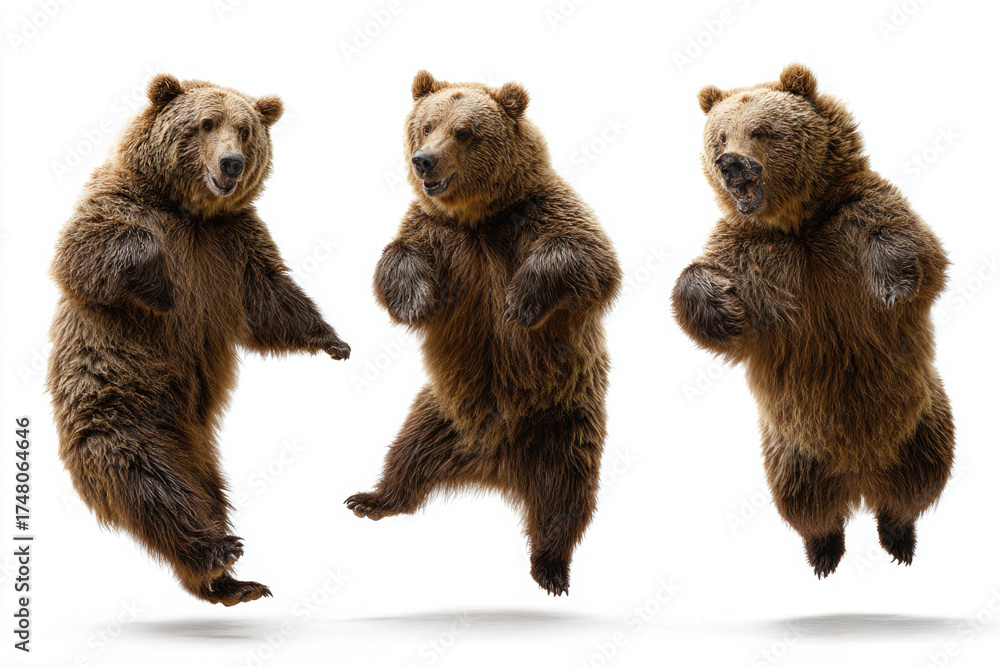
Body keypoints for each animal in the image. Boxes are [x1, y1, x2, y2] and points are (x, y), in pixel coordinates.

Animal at [46, 75, 351, 605]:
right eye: (206, 123)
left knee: (207, 493)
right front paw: (160, 285)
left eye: (245, 130)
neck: (192, 213)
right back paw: (214, 550)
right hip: (119, 403)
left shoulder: (233, 245)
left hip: (201, 451)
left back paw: (232, 580)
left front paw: (333, 341)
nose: (230, 163)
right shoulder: (123, 205)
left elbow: (271, 302)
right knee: (147, 477)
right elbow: (84, 252)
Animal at [344, 71, 622, 596]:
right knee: (407, 452)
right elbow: (395, 261)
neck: (477, 219)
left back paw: (551, 566)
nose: (424, 159)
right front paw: (416, 301)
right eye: (426, 124)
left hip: (563, 421)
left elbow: (584, 256)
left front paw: (519, 303)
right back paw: (373, 498)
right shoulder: (434, 232)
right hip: (439, 411)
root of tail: (494, 463)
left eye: (464, 132)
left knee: (566, 494)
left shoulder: (536, 214)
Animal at [671, 63, 955, 577]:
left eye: (760, 131)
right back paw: (824, 549)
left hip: (919, 421)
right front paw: (721, 307)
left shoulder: (852, 217)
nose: (730, 164)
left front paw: (891, 283)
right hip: (792, 452)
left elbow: (915, 249)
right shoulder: (755, 255)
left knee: (921, 477)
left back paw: (899, 536)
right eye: (720, 136)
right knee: (804, 503)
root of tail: (861, 478)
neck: (798, 223)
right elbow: (704, 287)